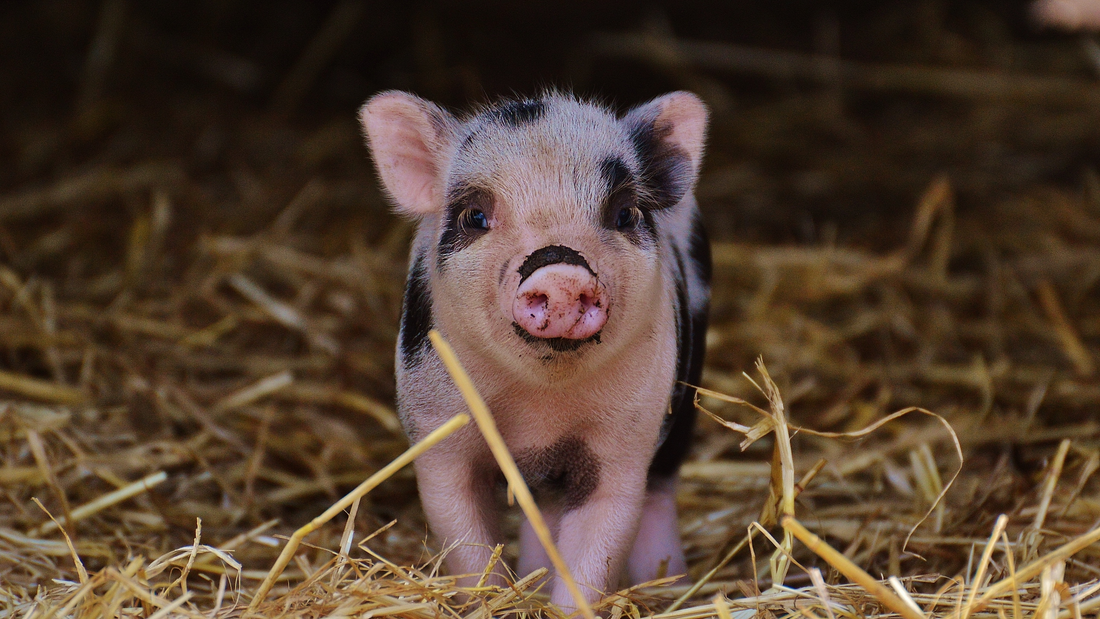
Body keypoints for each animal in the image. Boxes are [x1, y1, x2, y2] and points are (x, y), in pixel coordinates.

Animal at [356, 91, 708, 611]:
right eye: (475, 216)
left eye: (624, 214)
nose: (560, 270)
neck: (540, 411)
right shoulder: (438, 431)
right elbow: (465, 541)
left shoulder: (625, 441)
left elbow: (599, 543)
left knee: (660, 490)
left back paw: (669, 586)